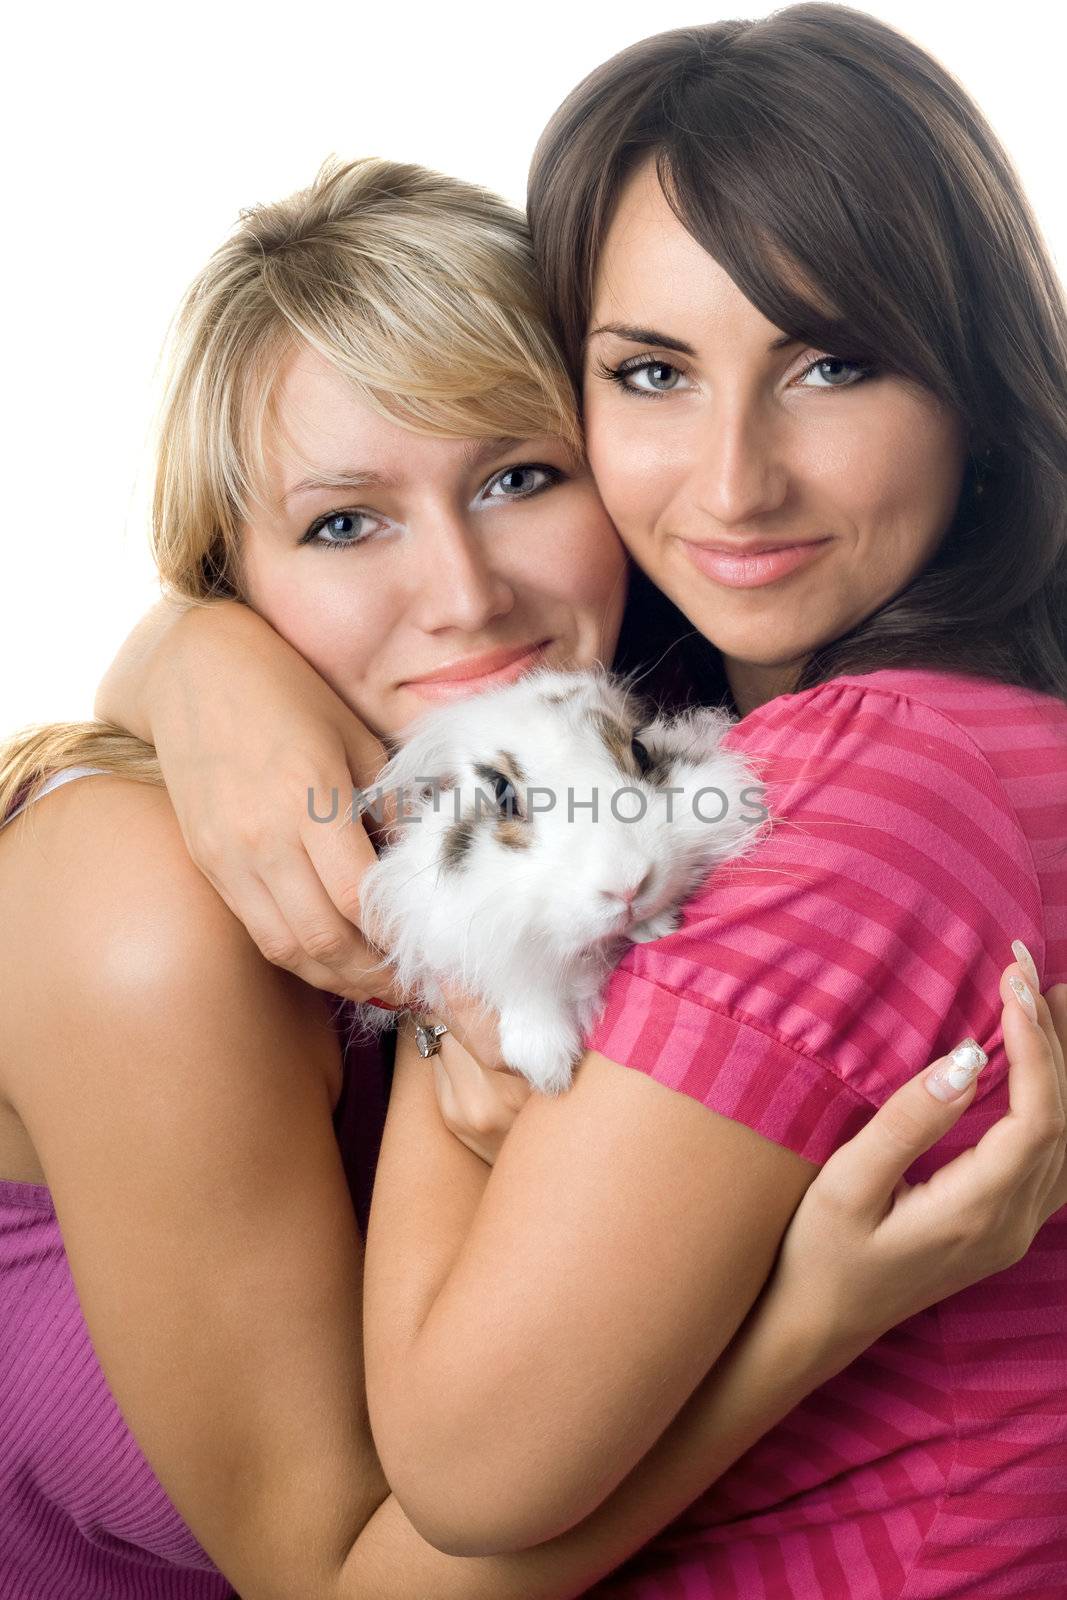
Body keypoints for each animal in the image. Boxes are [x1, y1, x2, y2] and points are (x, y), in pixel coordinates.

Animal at [356, 665, 767, 1100]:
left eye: (639, 750)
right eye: (503, 794)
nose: (628, 885)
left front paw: (657, 925)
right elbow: (519, 978)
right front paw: (545, 1065)